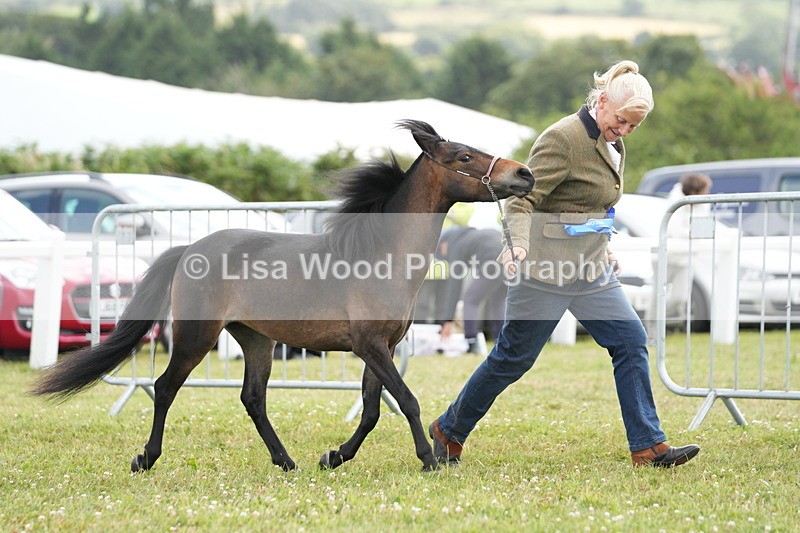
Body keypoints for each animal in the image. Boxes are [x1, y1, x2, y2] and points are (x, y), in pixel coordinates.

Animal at [31, 120, 534, 472]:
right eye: (465, 155)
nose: (524, 174)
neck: (380, 255)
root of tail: (188, 249)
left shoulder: (382, 347)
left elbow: (373, 411)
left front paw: (333, 457)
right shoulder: (370, 345)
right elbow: (406, 401)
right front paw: (429, 459)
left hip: (256, 339)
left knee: (252, 397)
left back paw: (286, 461)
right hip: (197, 336)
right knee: (164, 387)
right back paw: (146, 459)